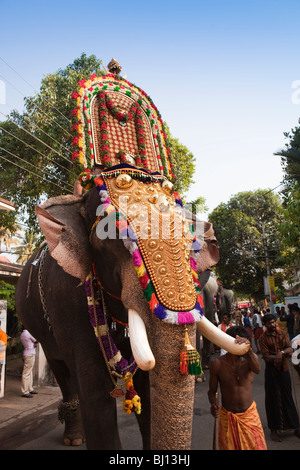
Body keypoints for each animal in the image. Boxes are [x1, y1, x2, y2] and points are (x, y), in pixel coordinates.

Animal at [14, 62, 248, 448]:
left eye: (192, 241)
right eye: (112, 237)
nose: (242, 337)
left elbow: (149, 396)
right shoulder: (68, 297)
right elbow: (96, 395)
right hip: (38, 327)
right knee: (63, 373)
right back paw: (74, 438)